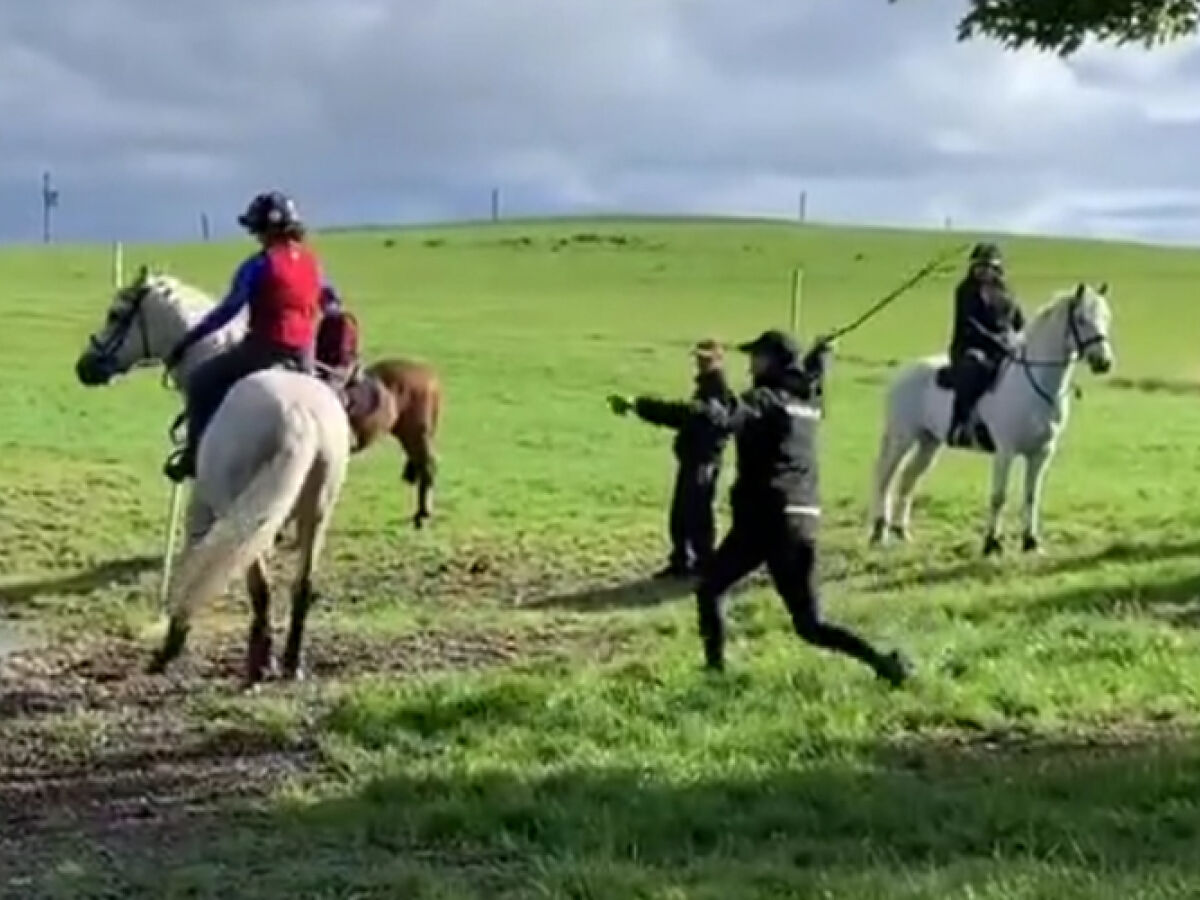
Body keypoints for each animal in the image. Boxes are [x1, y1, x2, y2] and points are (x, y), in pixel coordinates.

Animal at [75, 266, 350, 681]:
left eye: (115, 314)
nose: (86, 366)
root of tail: (299, 414)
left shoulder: (202, 501)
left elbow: (195, 557)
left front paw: (173, 641)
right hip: (316, 510)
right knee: (302, 585)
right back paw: (289, 663)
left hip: (240, 509)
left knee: (258, 584)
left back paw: (255, 663)